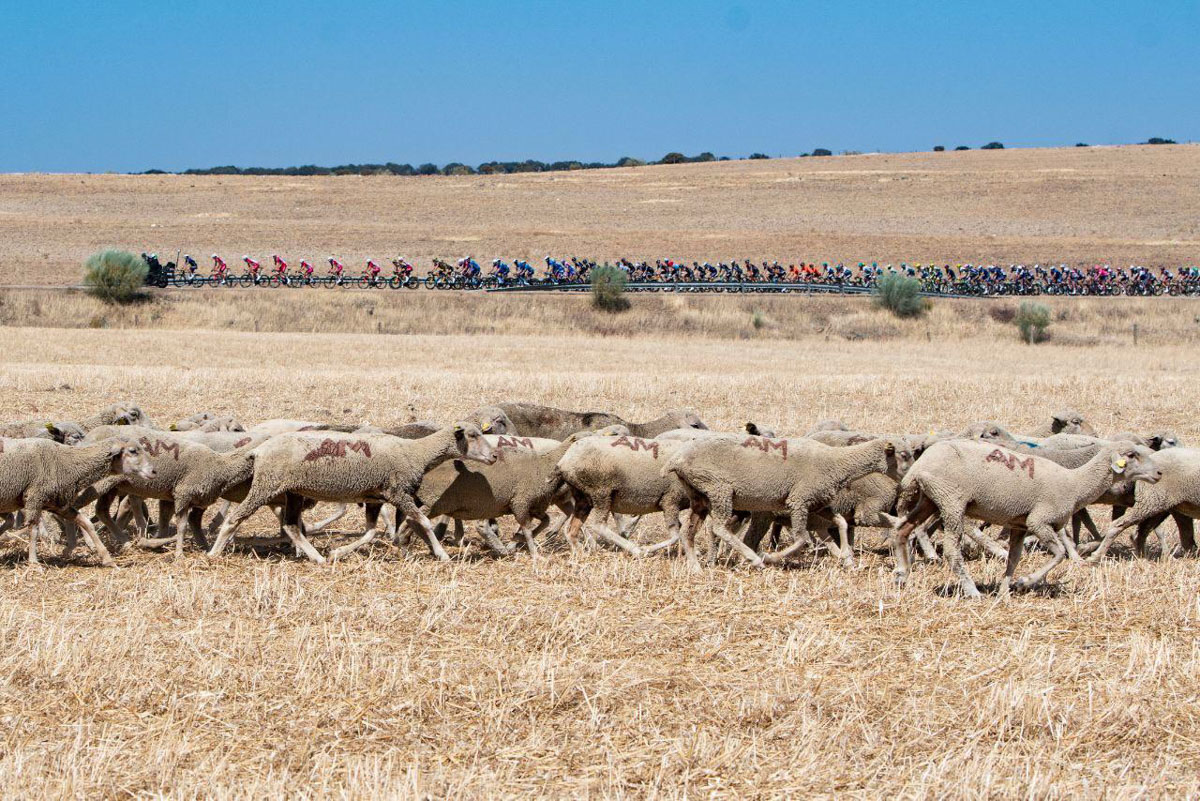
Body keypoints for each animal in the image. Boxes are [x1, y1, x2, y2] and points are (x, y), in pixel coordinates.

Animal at [0, 438, 156, 563]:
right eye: (133, 451)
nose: (154, 471)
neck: (67, 463)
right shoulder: (35, 497)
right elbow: (33, 530)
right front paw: (34, 563)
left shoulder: (58, 504)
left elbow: (86, 522)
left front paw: (107, 559)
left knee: (9, 520)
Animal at [206, 424, 496, 563]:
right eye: (472, 435)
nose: (494, 456)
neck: (415, 453)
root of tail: (258, 450)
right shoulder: (397, 492)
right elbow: (423, 521)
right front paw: (443, 555)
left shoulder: (375, 498)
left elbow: (370, 532)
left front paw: (338, 553)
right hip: (266, 485)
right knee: (236, 518)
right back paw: (214, 552)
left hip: (293, 492)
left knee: (291, 526)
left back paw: (318, 557)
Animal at [662, 431, 902, 568]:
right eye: (903, 455)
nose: (903, 482)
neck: (835, 462)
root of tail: (676, 459)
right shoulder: (799, 501)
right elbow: (801, 539)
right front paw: (770, 557)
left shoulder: (817, 503)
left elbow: (841, 523)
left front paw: (848, 559)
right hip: (718, 488)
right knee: (720, 528)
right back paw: (753, 558)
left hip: (699, 494)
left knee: (689, 531)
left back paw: (696, 567)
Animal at [892, 438, 1161, 594]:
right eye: (1132, 455)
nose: (1159, 473)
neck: (1075, 484)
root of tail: (919, 466)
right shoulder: (1038, 520)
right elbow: (1060, 554)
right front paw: (1026, 582)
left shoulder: (1020, 524)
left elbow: (1014, 558)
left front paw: (1004, 590)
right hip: (951, 501)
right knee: (950, 551)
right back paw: (972, 591)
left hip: (929, 499)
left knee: (902, 529)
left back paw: (902, 574)